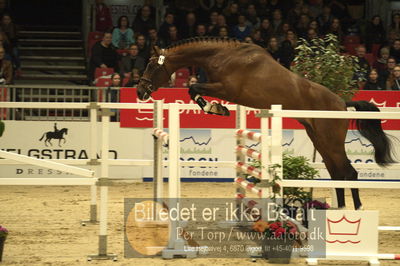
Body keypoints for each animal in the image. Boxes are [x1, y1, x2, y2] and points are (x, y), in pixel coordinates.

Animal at [136, 36, 396, 210]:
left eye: (151, 64)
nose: (140, 92)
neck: (222, 56)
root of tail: (342, 102)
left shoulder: (226, 89)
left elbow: (193, 88)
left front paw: (215, 108)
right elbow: (194, 90)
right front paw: (217, 108)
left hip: (330, 139)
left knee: (349, 172)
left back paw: (356, 211)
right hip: (318, 138)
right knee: (337, 172)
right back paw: (338, 212)